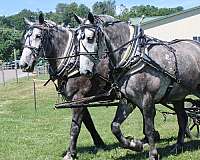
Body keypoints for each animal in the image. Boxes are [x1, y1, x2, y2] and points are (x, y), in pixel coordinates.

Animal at [74, 12, 200, 160]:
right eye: (77, 40)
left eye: (90, 38)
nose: (84, 71)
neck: (134, 56)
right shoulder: (128, 100)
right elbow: (115, 126)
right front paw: (135, 144)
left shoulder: (147, 100)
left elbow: (149, 129)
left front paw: (152, 154)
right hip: (177, 96)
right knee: (183, 118)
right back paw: (178, 146)